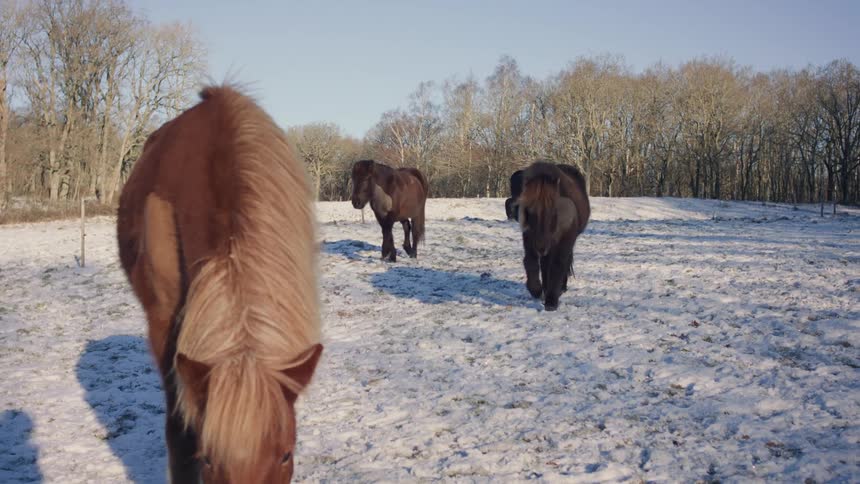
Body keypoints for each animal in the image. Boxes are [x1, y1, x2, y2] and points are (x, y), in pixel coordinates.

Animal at [518, 160, 590, 311]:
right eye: (529, 210)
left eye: (553, 211)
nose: (541, 247)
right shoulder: (529, 237)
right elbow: (530, 261)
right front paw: (536, 289)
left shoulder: (565, 240)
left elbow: (558, 264)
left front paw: (552, 300)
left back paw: (560, 288)